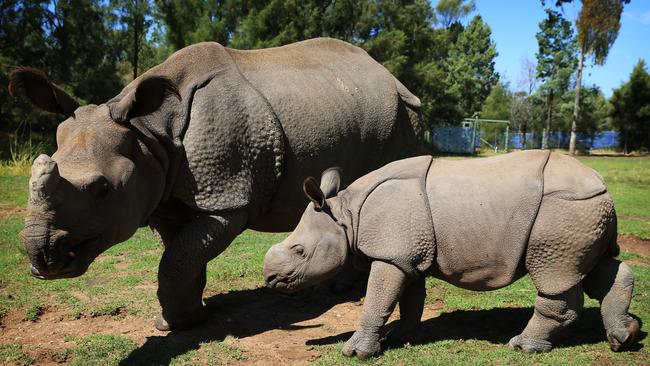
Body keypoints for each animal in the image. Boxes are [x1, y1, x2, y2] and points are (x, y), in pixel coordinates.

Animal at [12, 38, 426, 330]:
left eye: (102, 190)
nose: (43, 259)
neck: (149, 132)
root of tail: (392, 76)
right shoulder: (165, 196)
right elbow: (179, 257)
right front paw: (185, 318)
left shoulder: (227, 199)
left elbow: (176, 261)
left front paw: (176, 323)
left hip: (402, 115)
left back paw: (340, 290)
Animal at [260, 151, 636, 358]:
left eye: (299, 251)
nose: (270, 278)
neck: (346, 216)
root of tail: (603, 187)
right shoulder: (405, 254)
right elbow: (408, 298)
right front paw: (401, 337)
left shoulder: (391, 252)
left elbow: (377, 299)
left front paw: (355, 352)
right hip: (582, 214)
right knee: (594, 269)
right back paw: (624, 337)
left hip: (562, 212)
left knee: (554, 276)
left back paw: (522, 346)